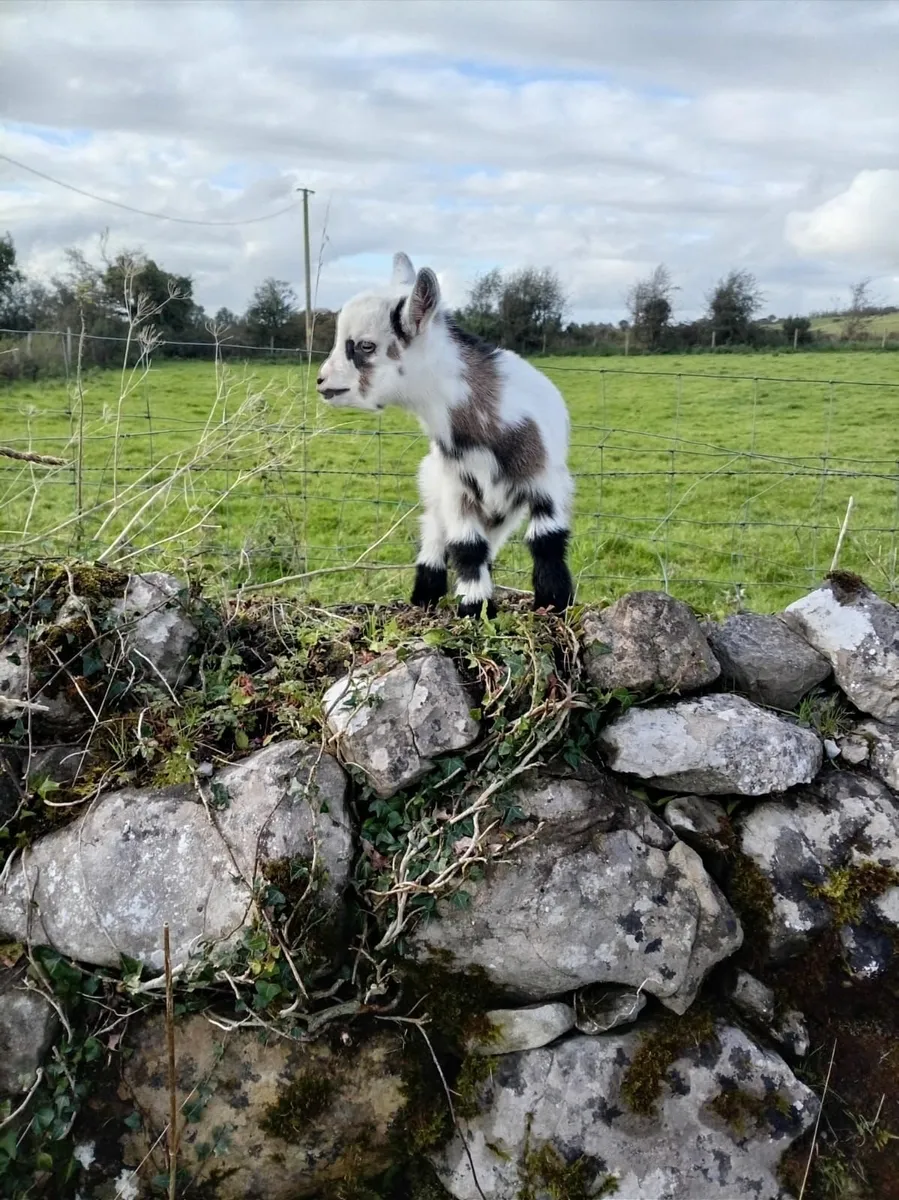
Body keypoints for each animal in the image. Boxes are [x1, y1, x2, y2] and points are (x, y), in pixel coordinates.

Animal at [316, 252, 575, 618]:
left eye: (365, 346)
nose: (322, 381)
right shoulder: (456, 486)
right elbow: (466, 546)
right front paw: (475, 607)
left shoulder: (546, 481)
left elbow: (547, 540)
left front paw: (553, 603)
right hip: (436, 486)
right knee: (437, 536)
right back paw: (425, 597)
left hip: (503, 510)